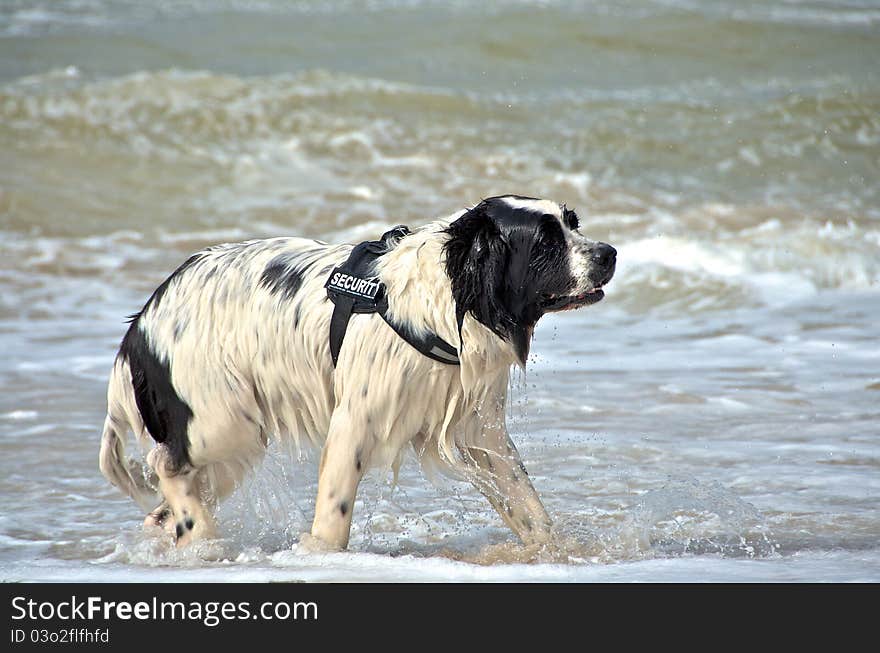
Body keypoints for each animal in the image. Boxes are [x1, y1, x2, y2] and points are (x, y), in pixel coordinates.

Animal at [99, 195, 616, 552]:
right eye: (545, 242)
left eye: (573, 223)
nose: (610, 253)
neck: (443, 302)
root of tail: (140, 326)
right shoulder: (354, 423)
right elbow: (334, 515)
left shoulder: (480, 430)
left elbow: (528, 506)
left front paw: (558, 552)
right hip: (222, 424)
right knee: (164, 465)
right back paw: (203, 536)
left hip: (231, 444)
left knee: (166, 506)